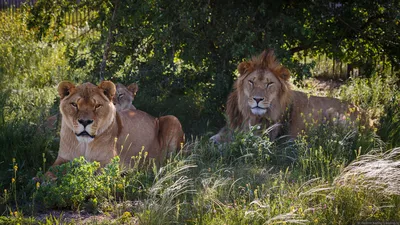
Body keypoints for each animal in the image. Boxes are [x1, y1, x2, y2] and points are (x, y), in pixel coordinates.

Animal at [48, 81, 184, 176]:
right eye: (74, 104)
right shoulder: (63, 159)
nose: (85, 121)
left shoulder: (108, 162)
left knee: (171, 162)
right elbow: (49, 172)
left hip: (172, 119)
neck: (85, 143)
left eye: (97, 105)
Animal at [212, 50, 362, 142]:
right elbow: (218, 135)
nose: (257, 99)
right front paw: (216, 140)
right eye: (251, 82)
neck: (250, 115)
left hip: (334, 114)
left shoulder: (264, 135)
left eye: (269, 84)